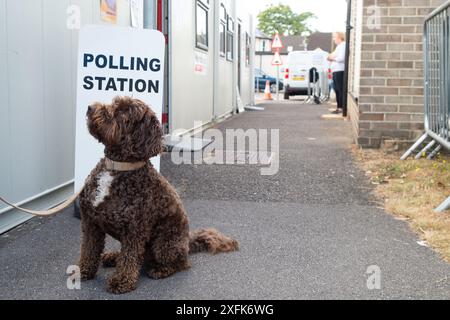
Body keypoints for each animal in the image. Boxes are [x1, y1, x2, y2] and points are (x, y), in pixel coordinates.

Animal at [78, 96, 239, 294]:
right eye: (115, 102)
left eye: (123, 111)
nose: (90, 107)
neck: (117, 168)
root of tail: (188, 241)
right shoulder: (90, 223)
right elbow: (89, 250)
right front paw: (82, 271)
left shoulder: (135, 230)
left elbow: (130, 258)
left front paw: (122, 281)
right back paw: (113, 257)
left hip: (164, 244)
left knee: (180, 263)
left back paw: (159, 270)